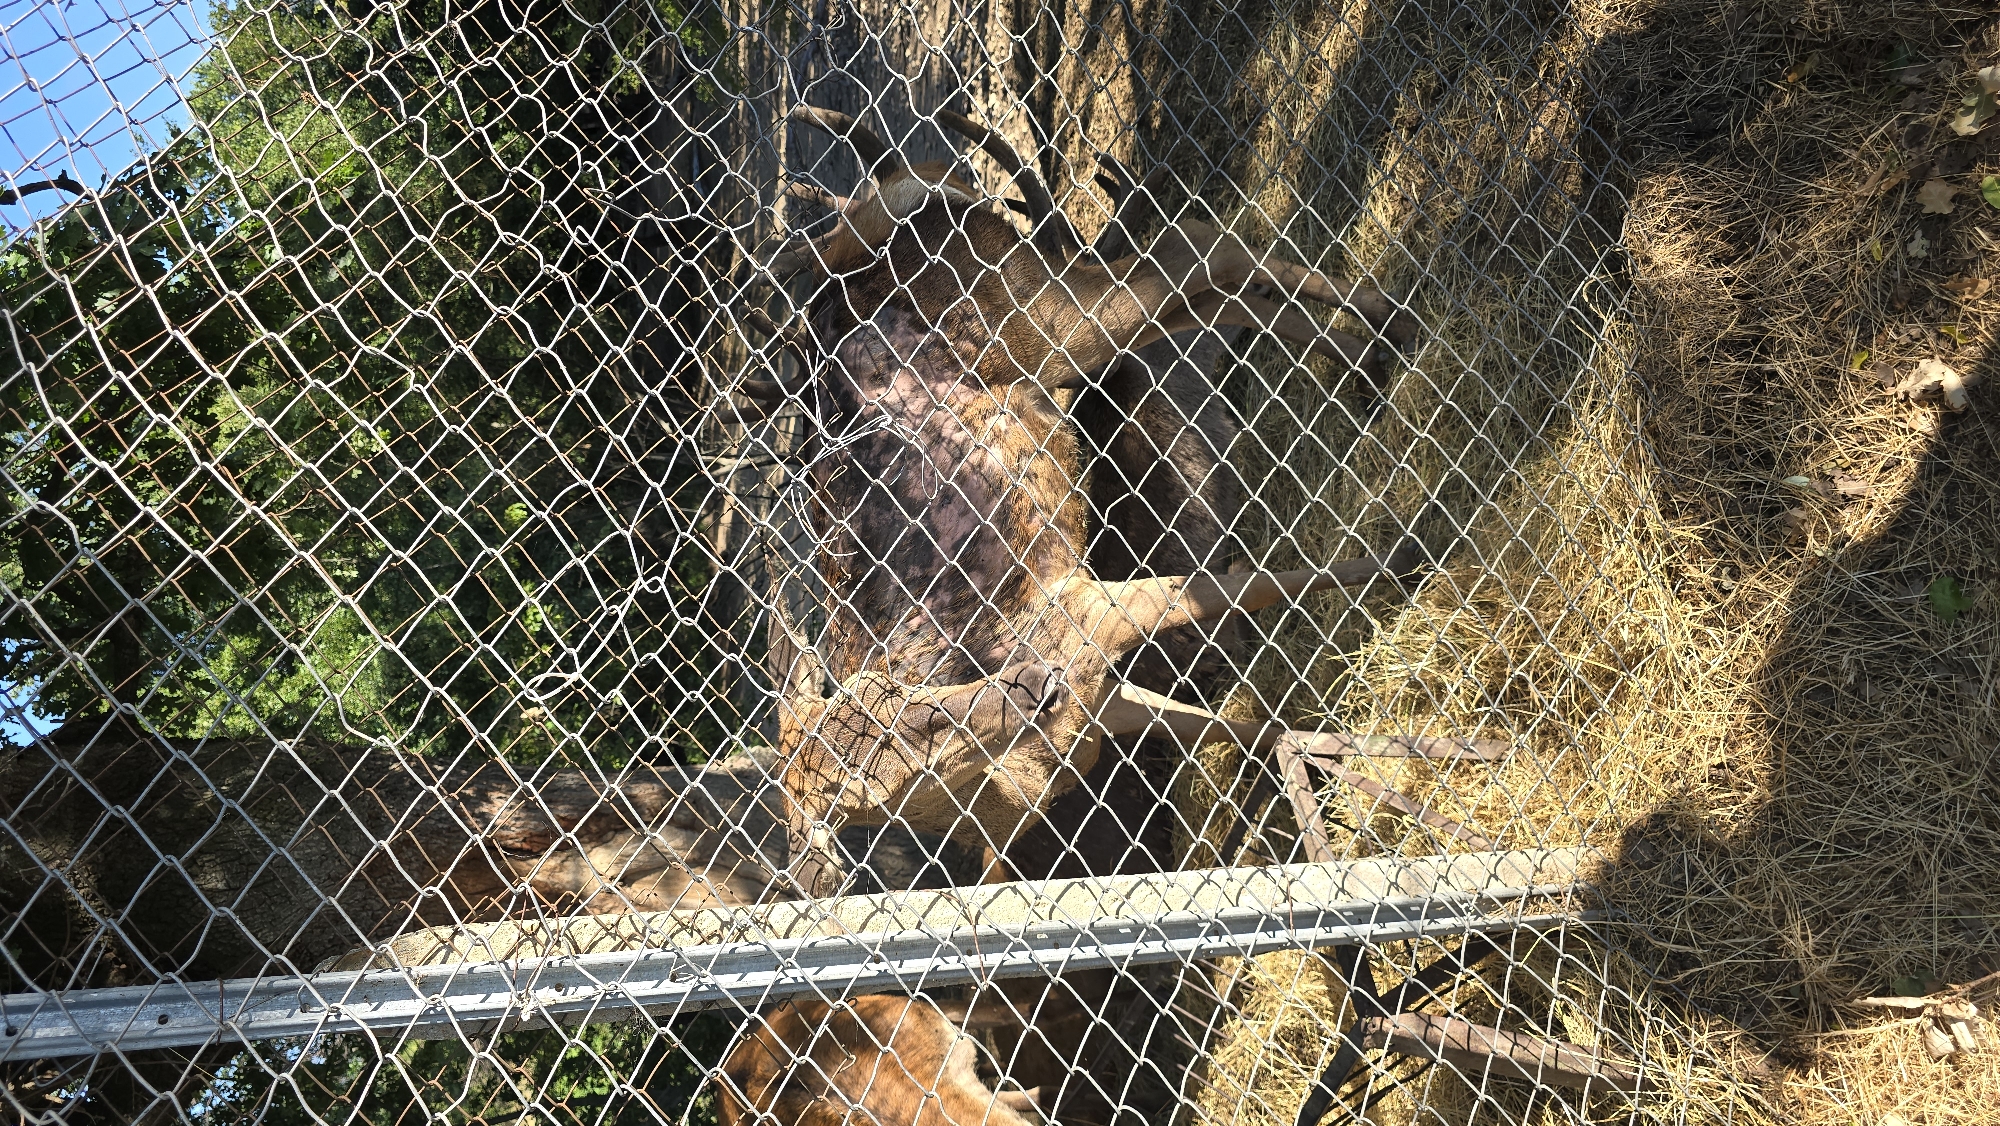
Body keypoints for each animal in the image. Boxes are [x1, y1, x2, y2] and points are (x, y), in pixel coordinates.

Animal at [742, 105, 1418, 895]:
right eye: (909, 740)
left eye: (906, 720)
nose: (1038, 687)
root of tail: (905, 195)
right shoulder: (1106, 694)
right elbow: (1248, 723)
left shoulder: (1092, 612)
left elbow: (1257, 588)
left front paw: (1413, 554)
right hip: (1054, 325)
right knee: (1202, 281)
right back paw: (1367, 350)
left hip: (1044, 318)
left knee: (1200, 250)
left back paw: (1388, 330)